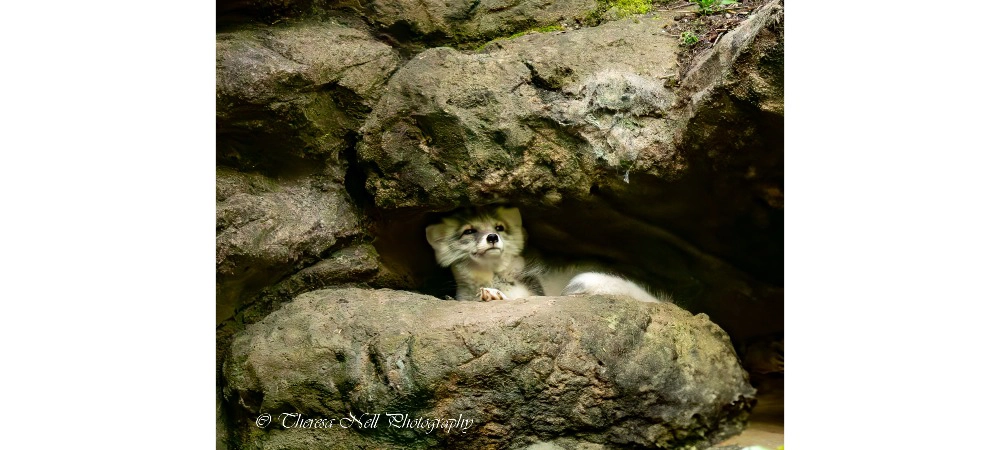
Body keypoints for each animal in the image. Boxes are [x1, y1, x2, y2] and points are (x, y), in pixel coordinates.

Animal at [424, 206, 667, 303]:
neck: (490, 278)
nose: (492, 237)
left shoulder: (533, 292)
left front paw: (493, 295)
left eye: (499, 227)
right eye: (469, 231)